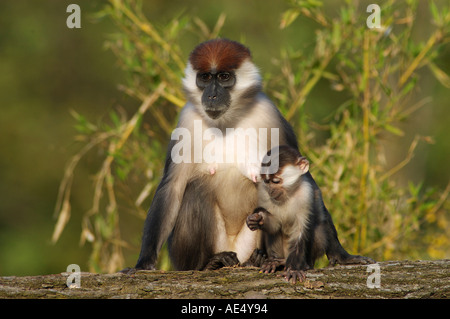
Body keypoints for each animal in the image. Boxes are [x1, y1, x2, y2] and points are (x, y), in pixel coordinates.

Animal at [131, 38, 298, 272]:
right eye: (205, 77)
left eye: (224, 77)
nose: (212, 95)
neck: (226, 122)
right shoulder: (187, 119)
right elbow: (173, 187)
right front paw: (143, 262)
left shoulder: (269, 114)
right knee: (194, 190)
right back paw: (210, 263)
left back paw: (257, 259)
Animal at [246, 146, 372, 284]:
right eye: (267, 182)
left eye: (276, 181)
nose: (271, 190)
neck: (288, 194)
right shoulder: (263, 193)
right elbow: (275, 225)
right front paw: (258, 219)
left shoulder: (306, 192)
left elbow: (301, 230)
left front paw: (293, 269)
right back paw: (276, 261)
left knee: (318, 227)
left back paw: (298, 264)